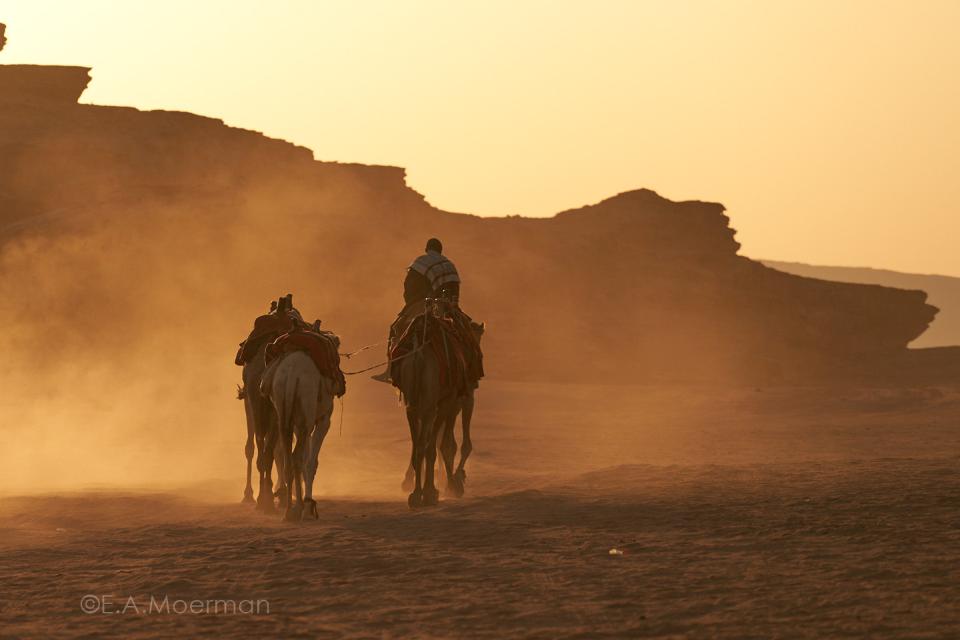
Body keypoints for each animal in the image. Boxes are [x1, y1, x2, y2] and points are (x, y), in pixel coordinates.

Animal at [262, 350, 338, 520]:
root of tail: (292, 374)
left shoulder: (298, 423)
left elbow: (305, 459)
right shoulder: (323, 420)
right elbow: (310, 462)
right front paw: (309, 505)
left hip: (283, 410)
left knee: (287, 457)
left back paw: (289, 510)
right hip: (306, 407)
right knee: (296, 457)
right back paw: (297, 508)